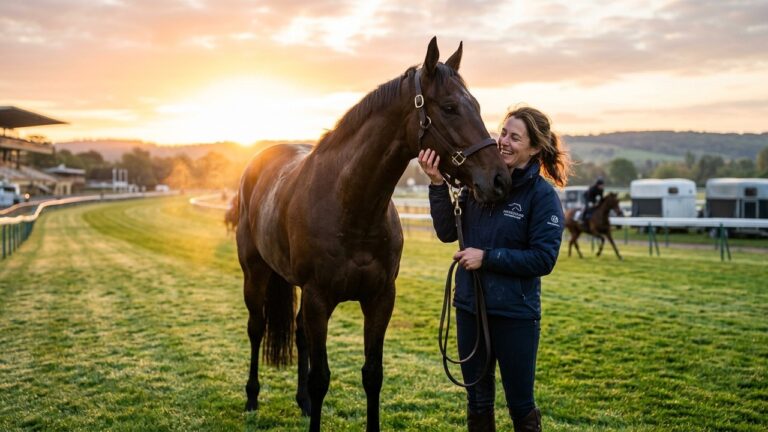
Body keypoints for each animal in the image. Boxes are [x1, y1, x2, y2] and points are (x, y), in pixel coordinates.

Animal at [235, 37, 512, 432]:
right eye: (450, 107)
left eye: (475, 105)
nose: (499, 180)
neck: (351, 207)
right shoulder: (319, 299)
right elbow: (321, 378)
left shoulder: (380, 299)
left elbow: (372, 375)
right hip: (255, 274)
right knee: (256, 328)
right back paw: (252, 397)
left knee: (300, 336)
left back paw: (301, 402)